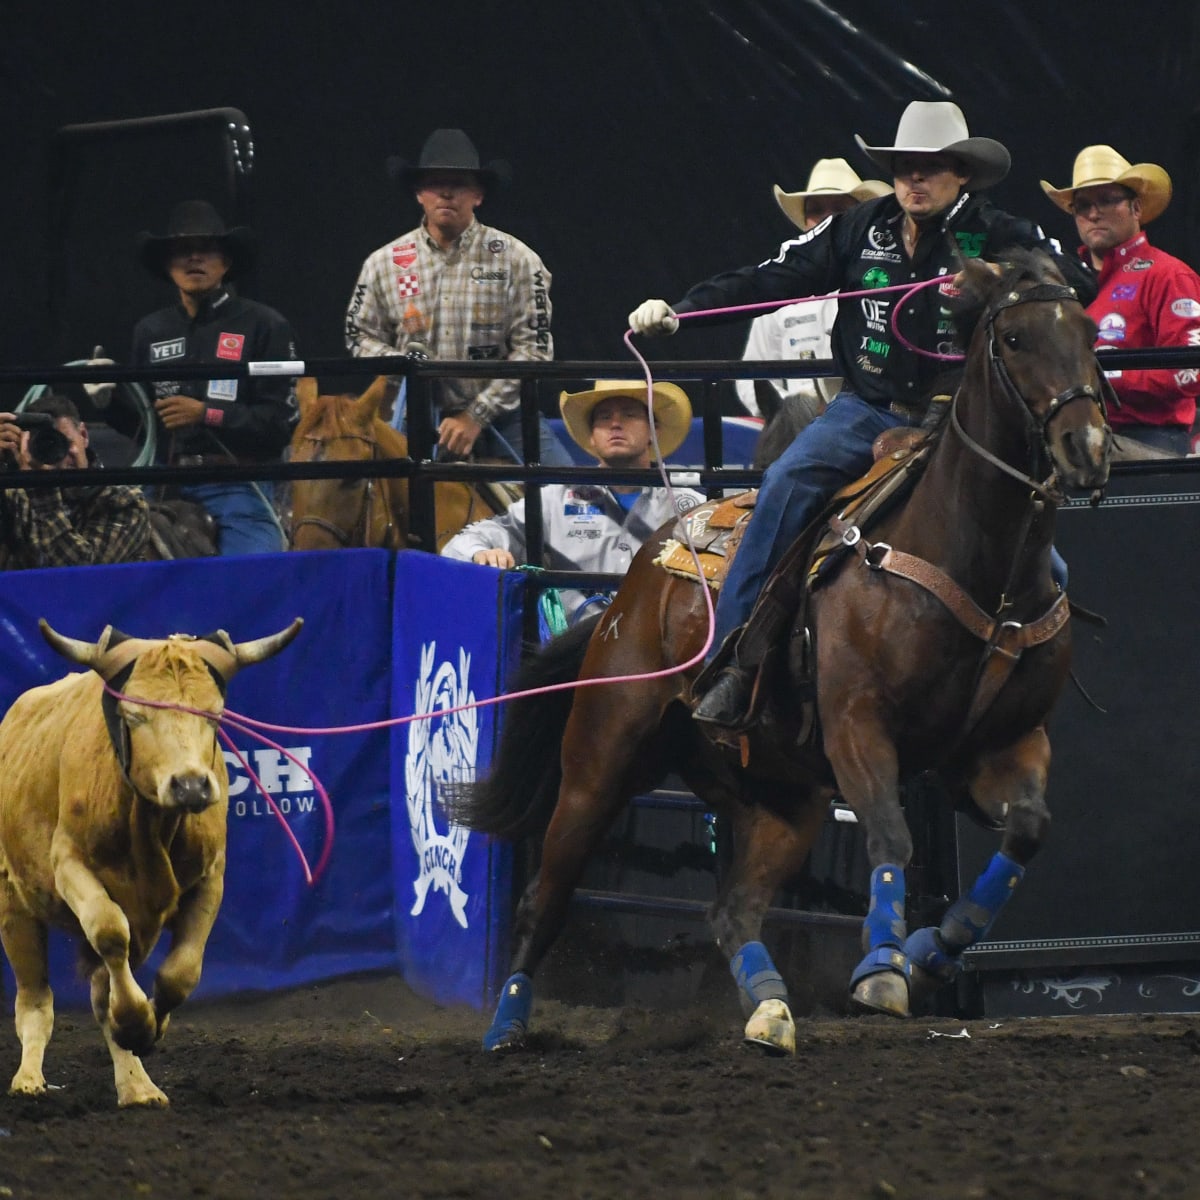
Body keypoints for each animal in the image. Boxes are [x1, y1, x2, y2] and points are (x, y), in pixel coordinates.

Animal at [453, 250, 1108, 1051]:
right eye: (1014, 338)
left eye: (1088, 334)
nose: (1087, 449)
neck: (974, 558)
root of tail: (637, 579)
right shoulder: (858, 723)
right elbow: (890, 834)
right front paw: (882, 966)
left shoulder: (1002, 746)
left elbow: (1026, 831)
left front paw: (929, 949)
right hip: (598, 763)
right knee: (544, 896)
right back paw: (507, 1026)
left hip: (782, 799)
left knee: (732, 908)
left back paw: (769, 1008)